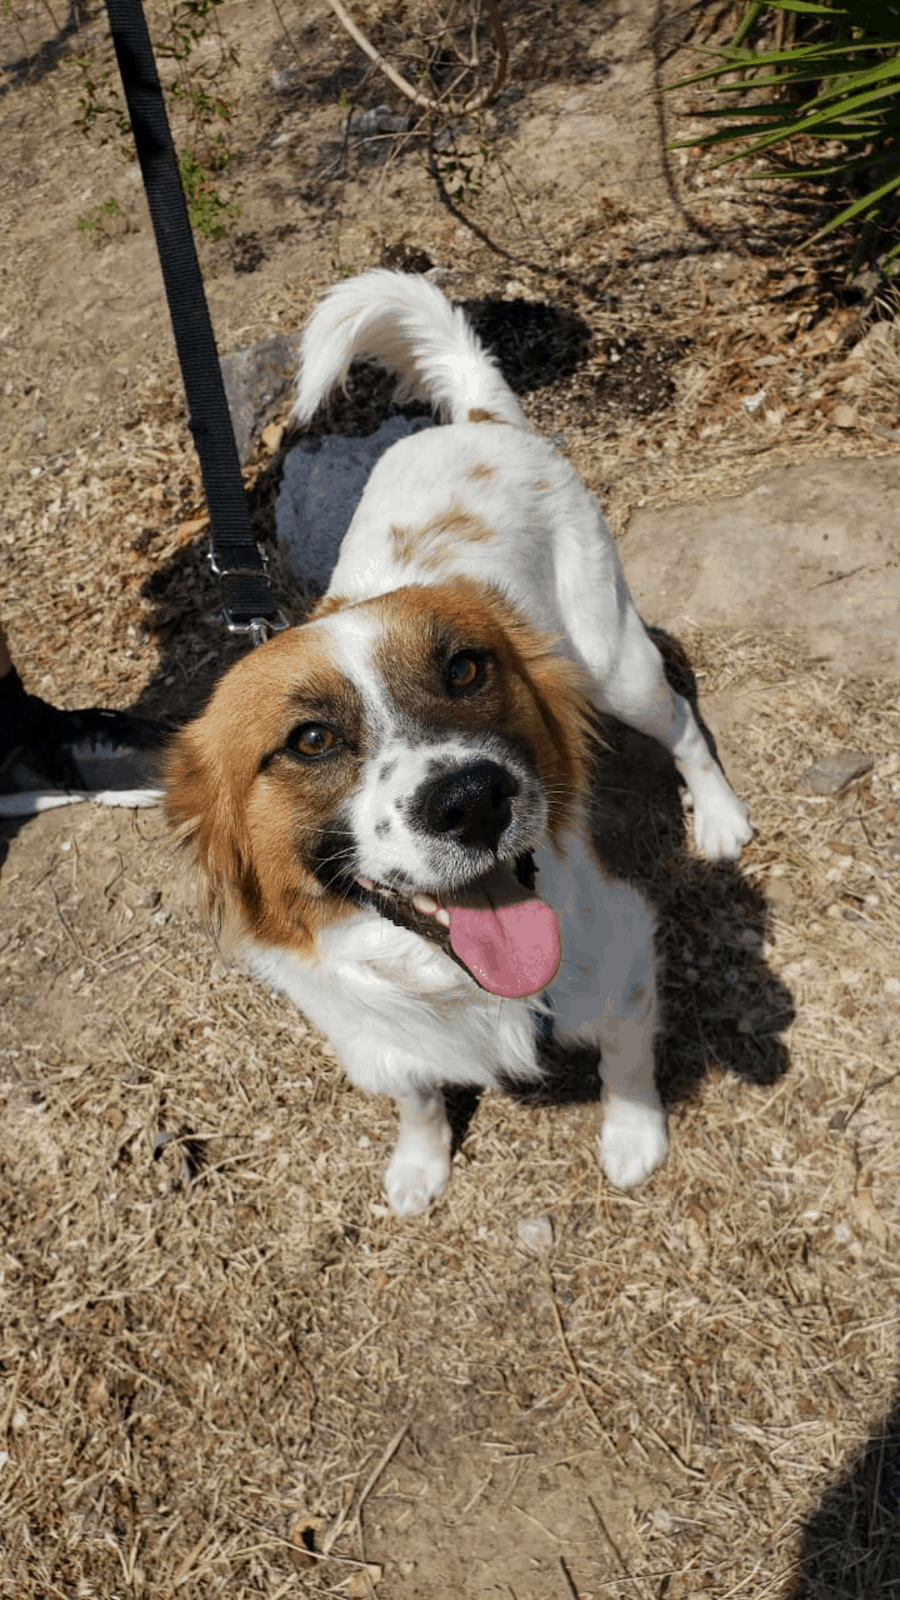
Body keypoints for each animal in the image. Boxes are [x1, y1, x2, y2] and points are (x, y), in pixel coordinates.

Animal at [162, 275, 749, 1216]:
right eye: (310, 739)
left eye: (467, 669)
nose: (474, 802)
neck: (447, 978)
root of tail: (475, 418)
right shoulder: (371, 1030)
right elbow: (417, 1094)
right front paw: (420, 1165)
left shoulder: (621, 952)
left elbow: (625, 1061)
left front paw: (632, 1139)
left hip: (615, 666)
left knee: (685, 722)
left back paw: (721, 819)